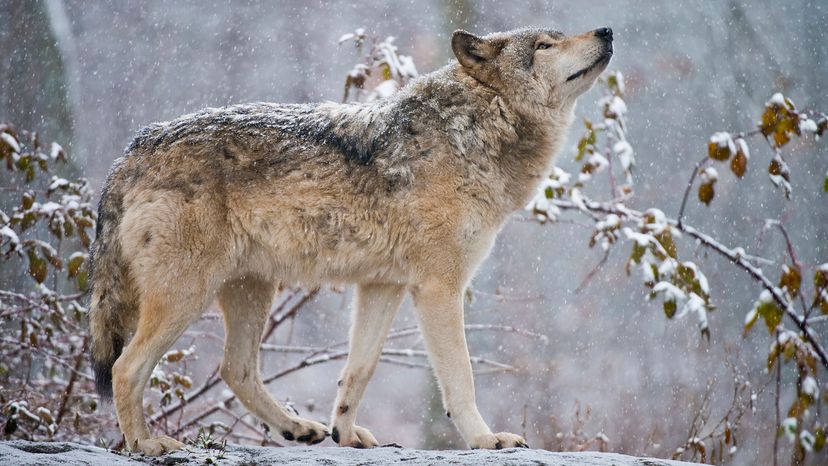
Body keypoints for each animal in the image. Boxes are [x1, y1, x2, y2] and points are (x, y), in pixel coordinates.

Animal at [90, 25, 616, 456]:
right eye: (544, 46)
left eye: (559, 36)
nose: (607, 30)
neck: (477, 128)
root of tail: (130, 152)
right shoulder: (438, 288)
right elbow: (460, 379)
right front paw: (486, 440)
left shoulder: (383, 286)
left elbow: (359, 371)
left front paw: (344, 433)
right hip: (187, 295)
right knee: (126, 368)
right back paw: (145, 443)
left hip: (251, 289)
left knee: (234, 369)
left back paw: (297, 428)